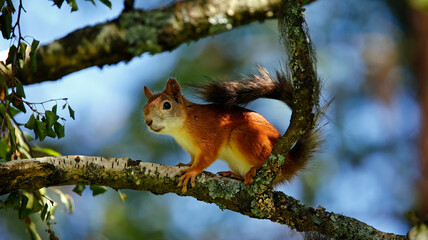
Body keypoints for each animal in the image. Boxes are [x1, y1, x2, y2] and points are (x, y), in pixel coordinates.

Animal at [144, 67, 320, 191]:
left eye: (166, 105)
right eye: (145, 108)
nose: (148, 121)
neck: (181, 128)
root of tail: (291, 160)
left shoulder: (210, 135)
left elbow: (206, 157)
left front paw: (192, 171)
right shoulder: (192, 150)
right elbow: (193, 158)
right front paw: (187, 165)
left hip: (245, 136)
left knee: (276, 169)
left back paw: (254, 169)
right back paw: (235, 175)